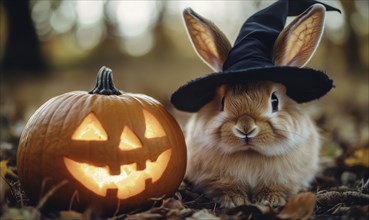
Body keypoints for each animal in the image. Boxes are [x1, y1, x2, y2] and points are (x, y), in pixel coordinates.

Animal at [181, 4, 324, 208]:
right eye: (222, 102)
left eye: (274, 101)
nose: (245, 128)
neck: (250, 154)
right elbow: (227, 187)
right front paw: (234, 200)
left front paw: (268, 199)